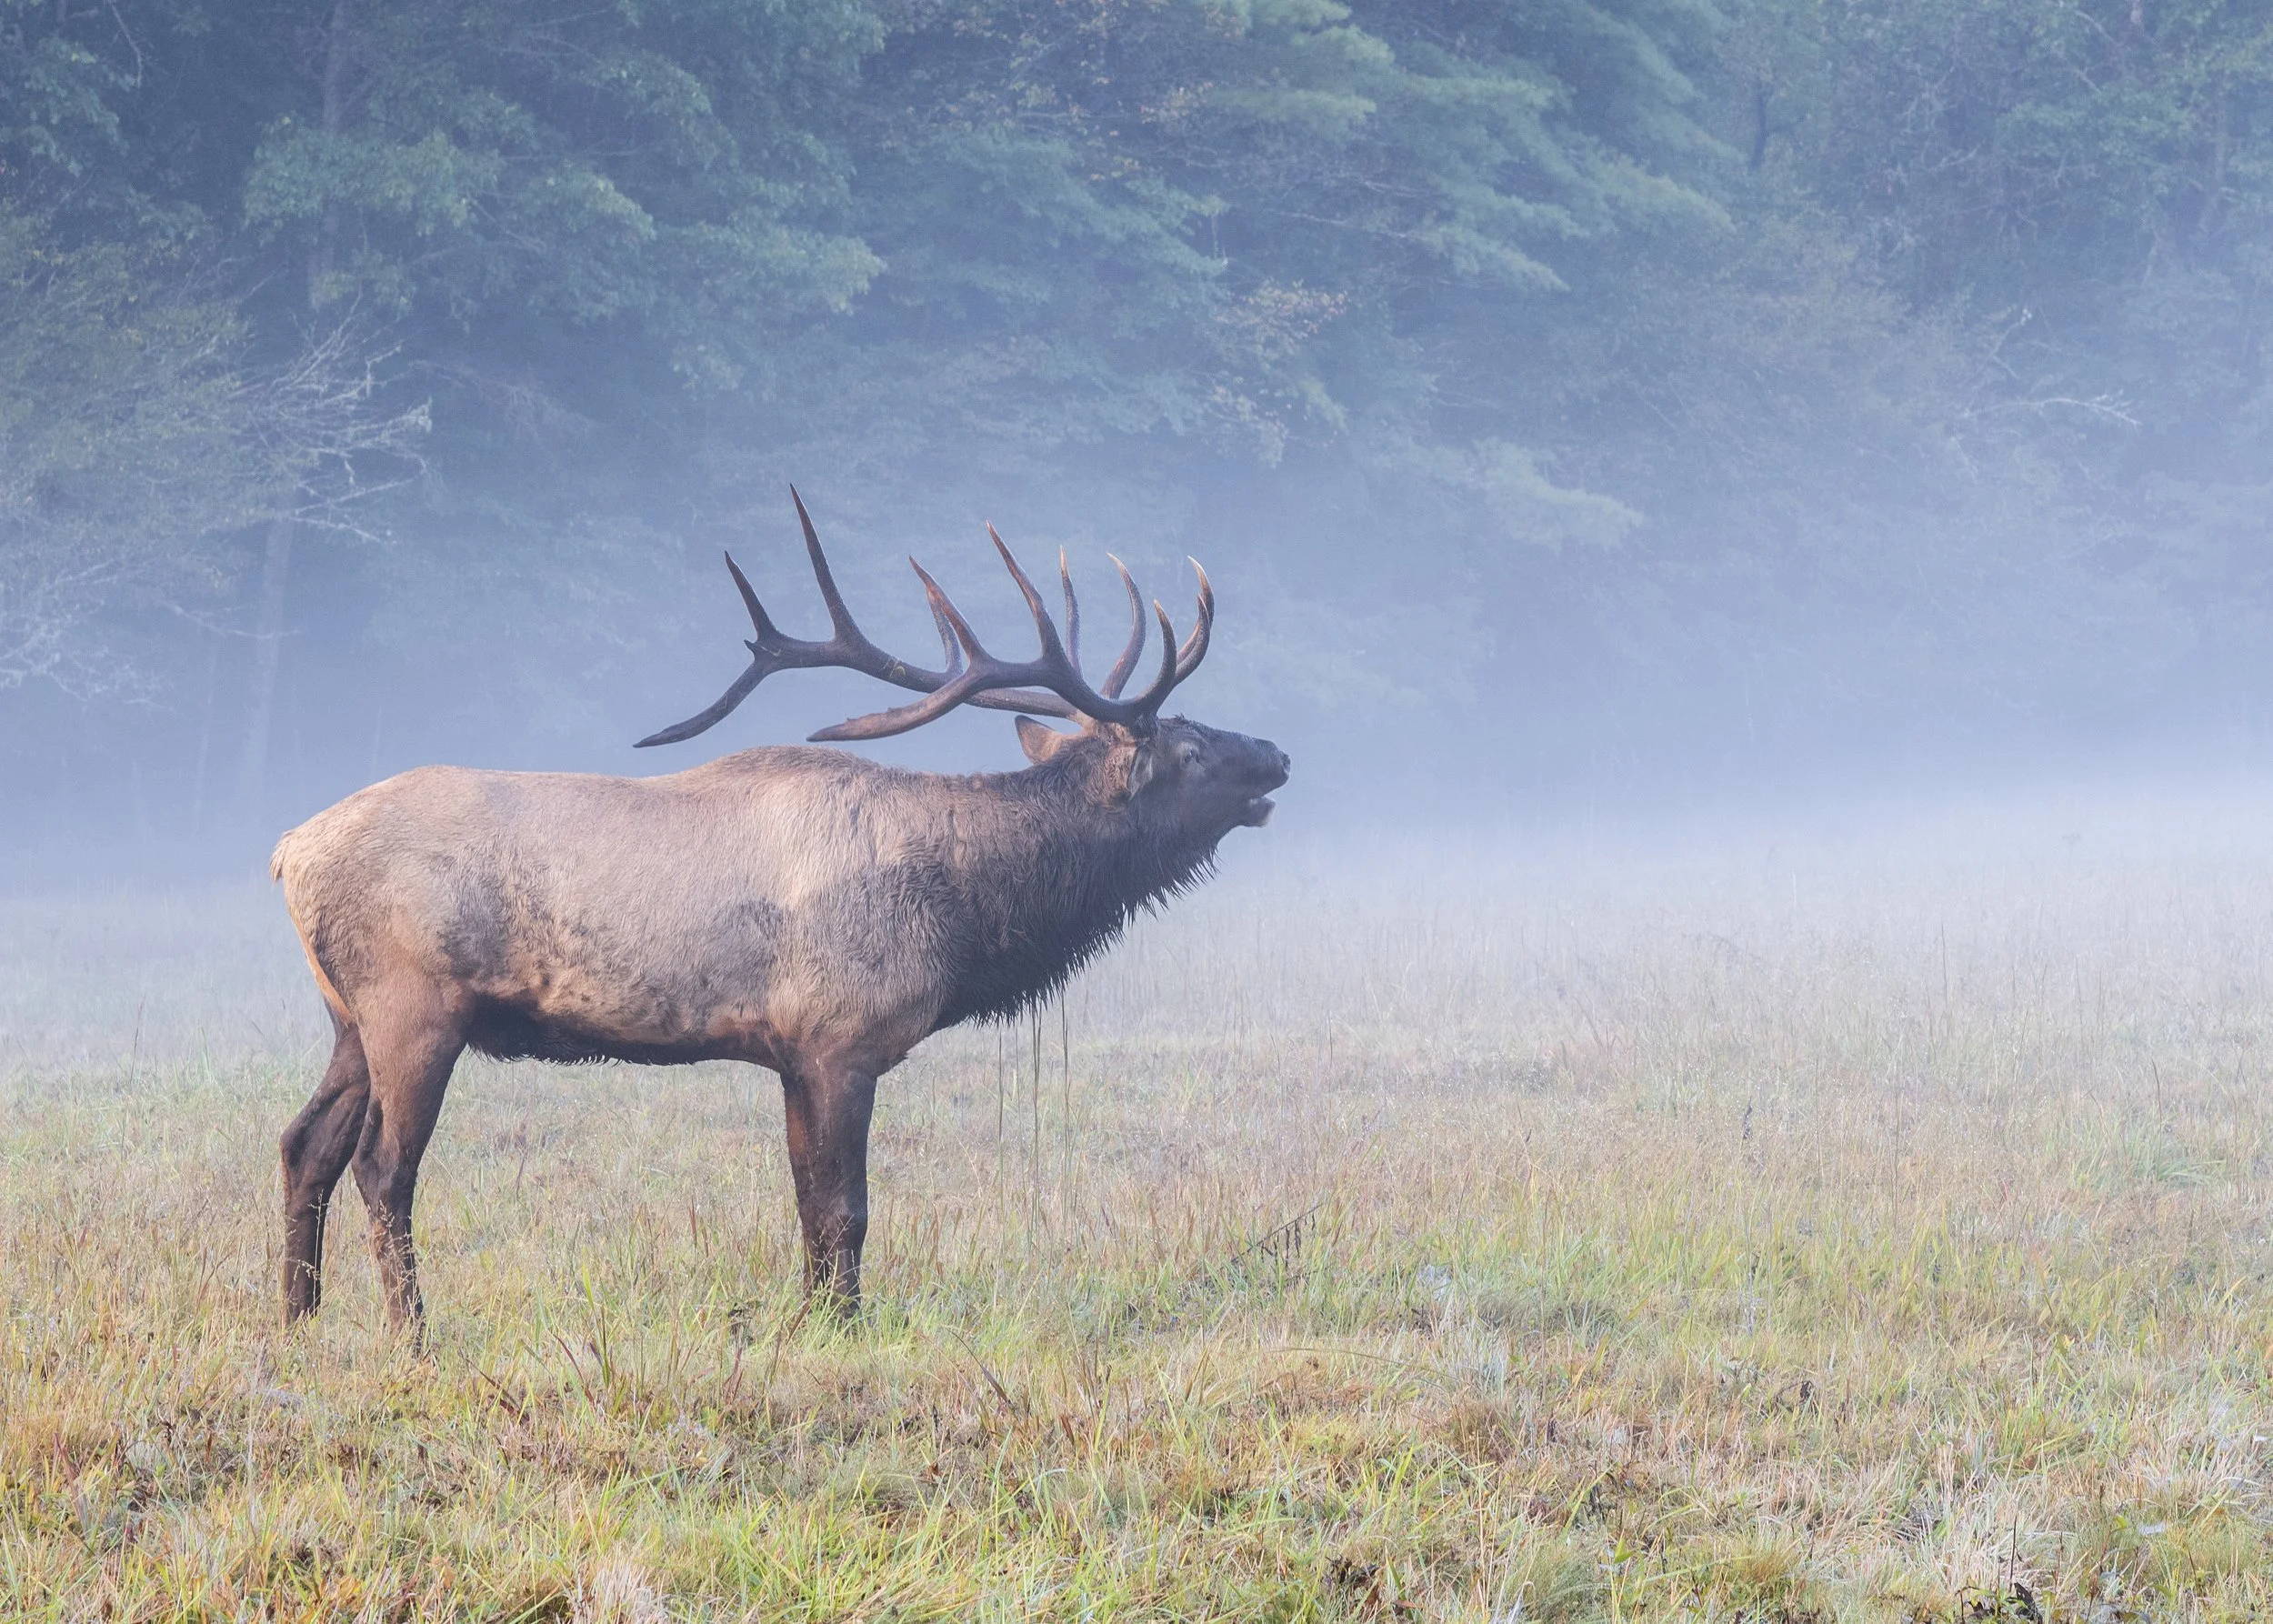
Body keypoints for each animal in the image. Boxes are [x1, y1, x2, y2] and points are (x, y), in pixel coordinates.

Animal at [270, 491, 1289, 1339]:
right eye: (1191, 748)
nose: (1278, 753)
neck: (966, 914)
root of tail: (288, 851)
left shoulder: (794, 1052)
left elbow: (807, 1204)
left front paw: (809, 1318)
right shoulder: (841, 1040)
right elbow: (845, 1209)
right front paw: (839, 1326)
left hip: (347, 1016)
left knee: (303, 1143)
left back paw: (298, 1321)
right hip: (413, 1007)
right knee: (381, 1165)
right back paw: (411, 1332)